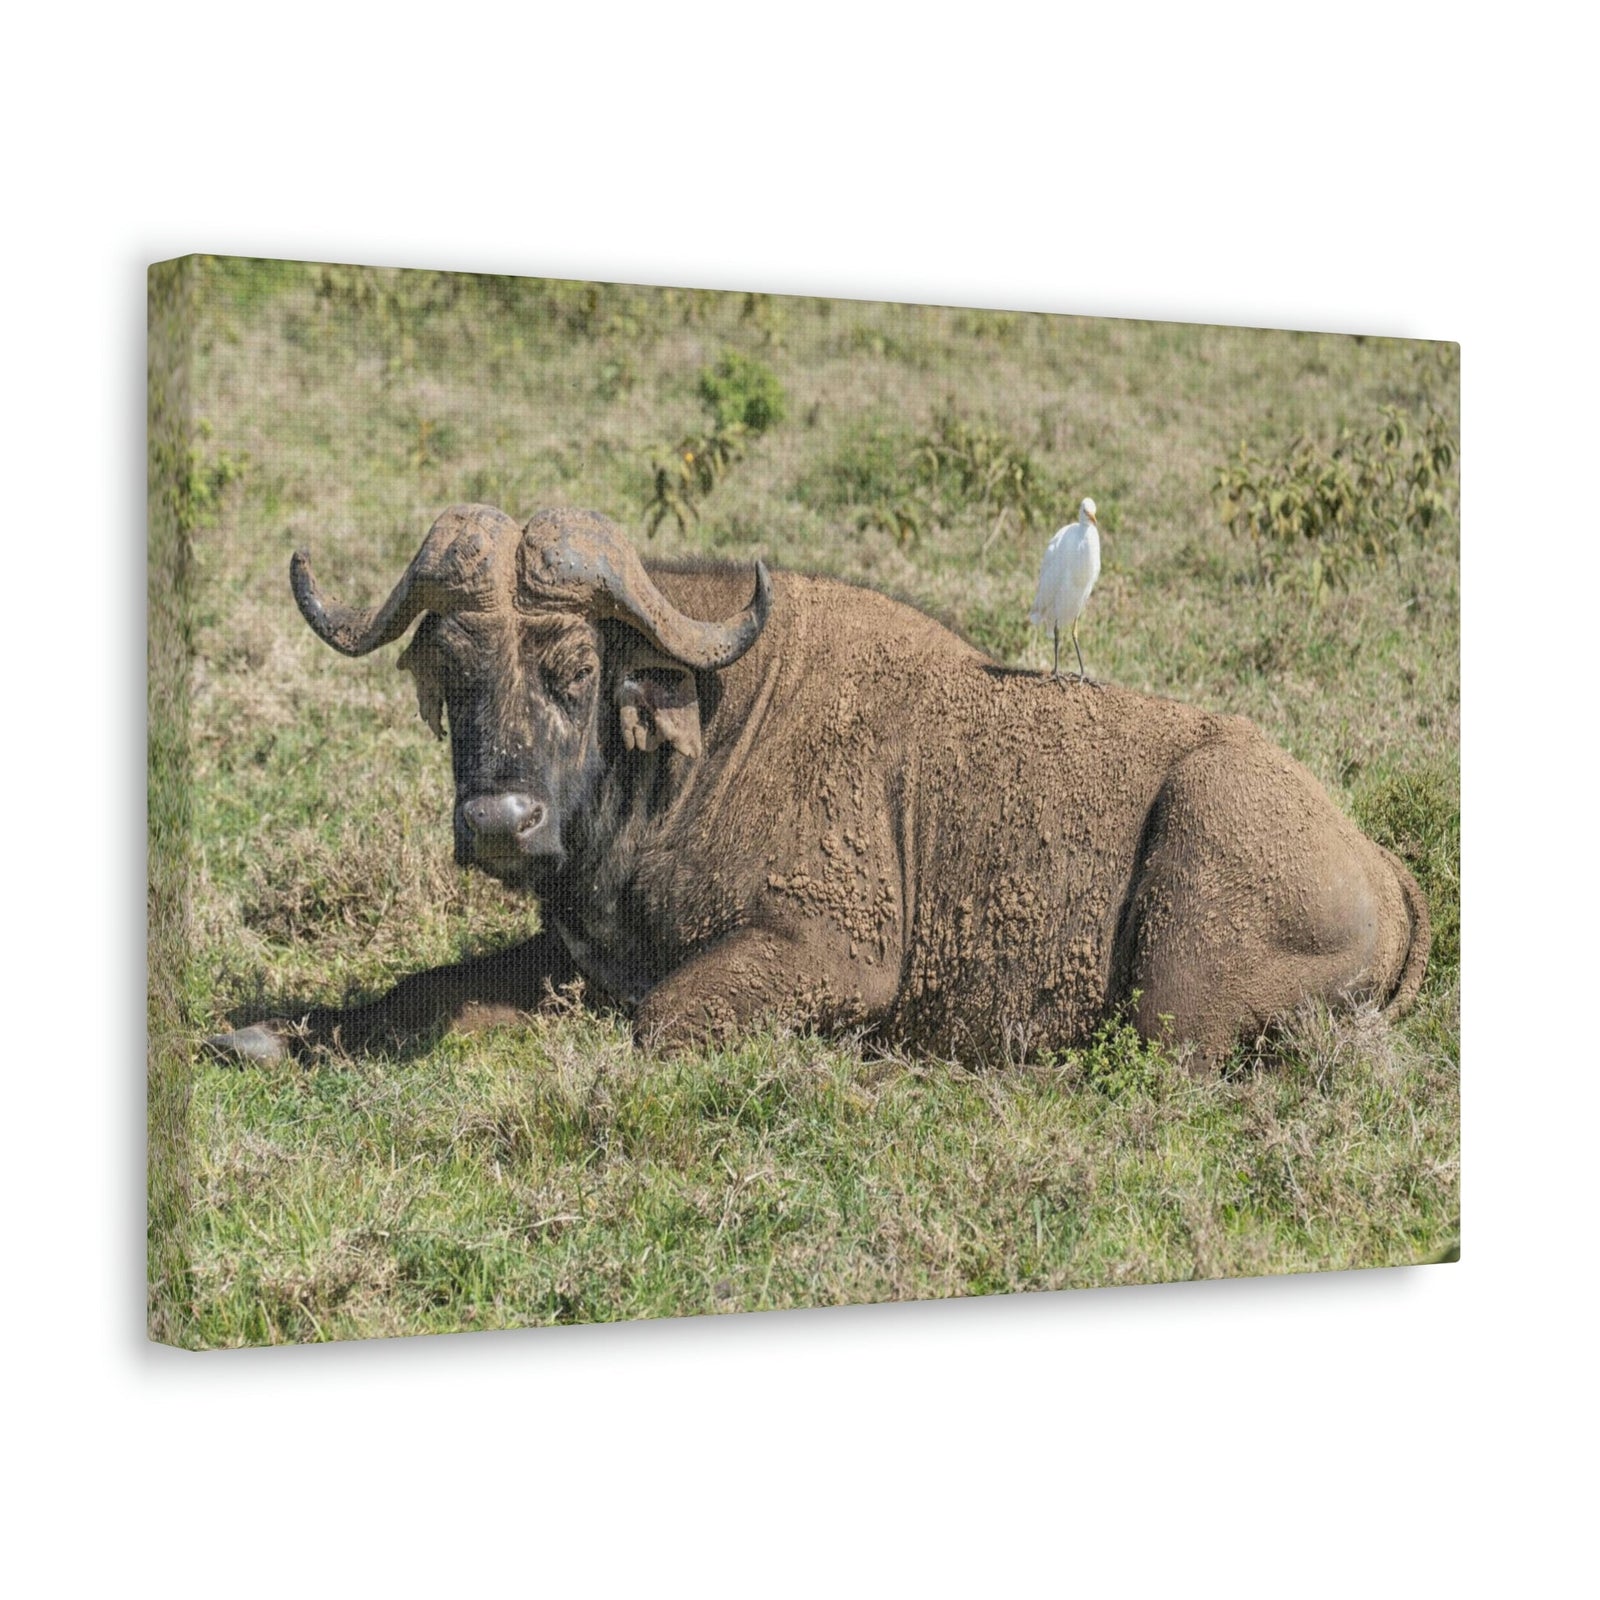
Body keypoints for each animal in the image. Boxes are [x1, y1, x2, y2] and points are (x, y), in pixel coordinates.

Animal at [210, 503, 1429, 1069]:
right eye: (456, 672)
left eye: (573, 670)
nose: (500, 821)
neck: (700, 746)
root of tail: (1380, 864)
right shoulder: (578, 953)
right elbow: (421, 989)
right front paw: (268, 1035)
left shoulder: (830, 957)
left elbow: (656, 1021)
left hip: (1186, 939)